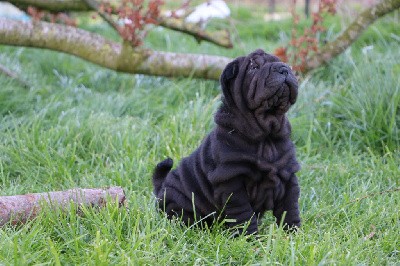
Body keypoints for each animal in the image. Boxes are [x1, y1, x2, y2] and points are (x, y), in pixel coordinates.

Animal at [153, 48, 300, 234]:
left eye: (284, 63)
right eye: (253, 67)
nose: (283, 68)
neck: (267, 135)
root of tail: (161, 188)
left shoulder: (288, 176)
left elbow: (290, 208)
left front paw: (294, 233)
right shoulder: (232, 181)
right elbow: (244, 214)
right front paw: (250, 237)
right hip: (179, 200)